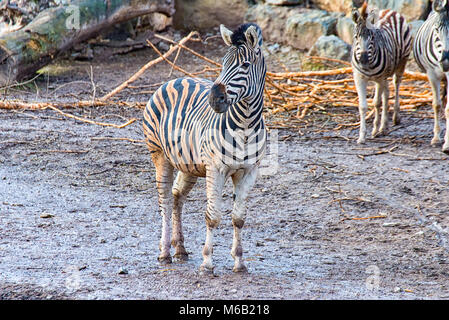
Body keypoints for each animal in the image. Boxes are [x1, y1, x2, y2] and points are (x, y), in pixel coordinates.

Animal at [143, 23, 266, 272]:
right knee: (165, 201)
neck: (246, 125)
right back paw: (164, 253)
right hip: (159, 155)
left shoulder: (249, 171)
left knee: (177, 196)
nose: (214, 99)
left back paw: (180, 248)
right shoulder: (216, 169)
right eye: (223, 63)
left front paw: (239, 261)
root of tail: (174, 79)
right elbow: (213, 216)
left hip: (188, 163)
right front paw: (207, 262)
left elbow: (238, 218)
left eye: (245, 65)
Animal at [352, 1, 412, 144]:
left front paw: (375, 129)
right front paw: (362, 136)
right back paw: (384, 126)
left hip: (401, 63)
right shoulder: (359, 78)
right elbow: (363, 106)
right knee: (387, 93)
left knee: (396, 85)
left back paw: (394, 117)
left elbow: (376, 103)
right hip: (384, 76)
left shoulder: (379, 79)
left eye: (372, 37)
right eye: (356, 37)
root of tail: (390, 11)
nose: (363, 60)